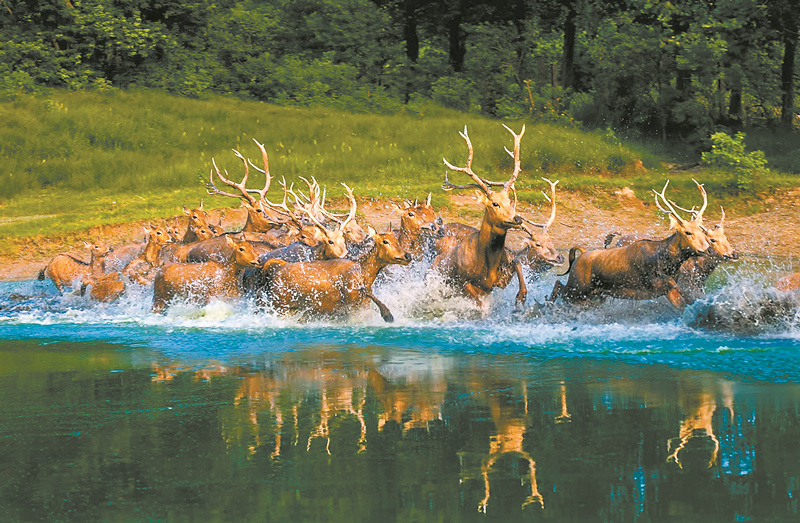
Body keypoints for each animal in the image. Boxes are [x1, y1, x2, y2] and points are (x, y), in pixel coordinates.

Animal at [260, 226, 412, 324]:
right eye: (385, 241)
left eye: (397, 240)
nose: (407, 256)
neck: (364, 275)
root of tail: (277, 267)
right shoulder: (350, 308)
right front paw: (388, 315)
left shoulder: (361, 305)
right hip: (280, 306)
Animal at [432, 124, 532, 312]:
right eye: (494, 203)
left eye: (510, 201)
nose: (517, 218)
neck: (488, 264)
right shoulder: (464, 281)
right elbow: (478, 304)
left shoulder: (499, 280)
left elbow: (517, 262)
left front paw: (521, 297)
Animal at [548, 181, 708, 310]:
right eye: (687, 232)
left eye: (702, 229)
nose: (706, 249)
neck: (668, 262)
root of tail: (581, 253)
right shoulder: (654, 283)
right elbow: (682, 290)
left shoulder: (665, 290)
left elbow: (682, 303)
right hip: (577, 287)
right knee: (558, 284)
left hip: (593, 293)